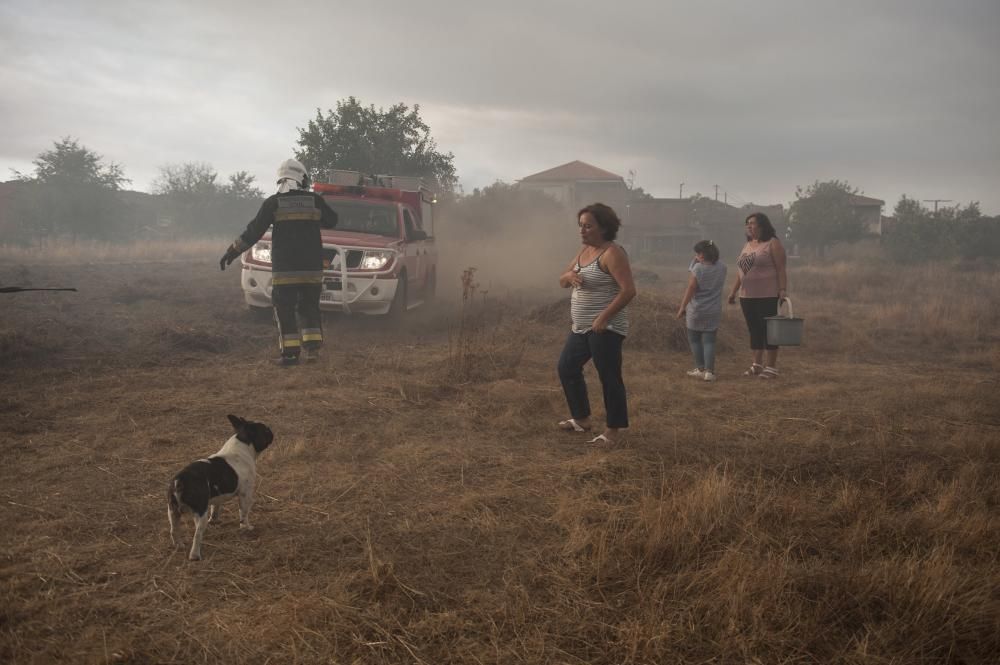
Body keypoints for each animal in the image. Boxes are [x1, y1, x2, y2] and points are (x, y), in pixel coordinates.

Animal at [169, 416, 274, 560]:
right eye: (266, 430)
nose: (272, 431)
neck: (243, 446)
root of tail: (181, 480)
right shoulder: (245, 494)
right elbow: (244, 512)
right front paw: (246, 527)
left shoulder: (216, 497)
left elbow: (216, 508)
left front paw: (214, 521)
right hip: (200, 512)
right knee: (197, 535)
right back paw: (195, 555)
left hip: (172, 511)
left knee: (173, 530)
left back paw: (179, 546)